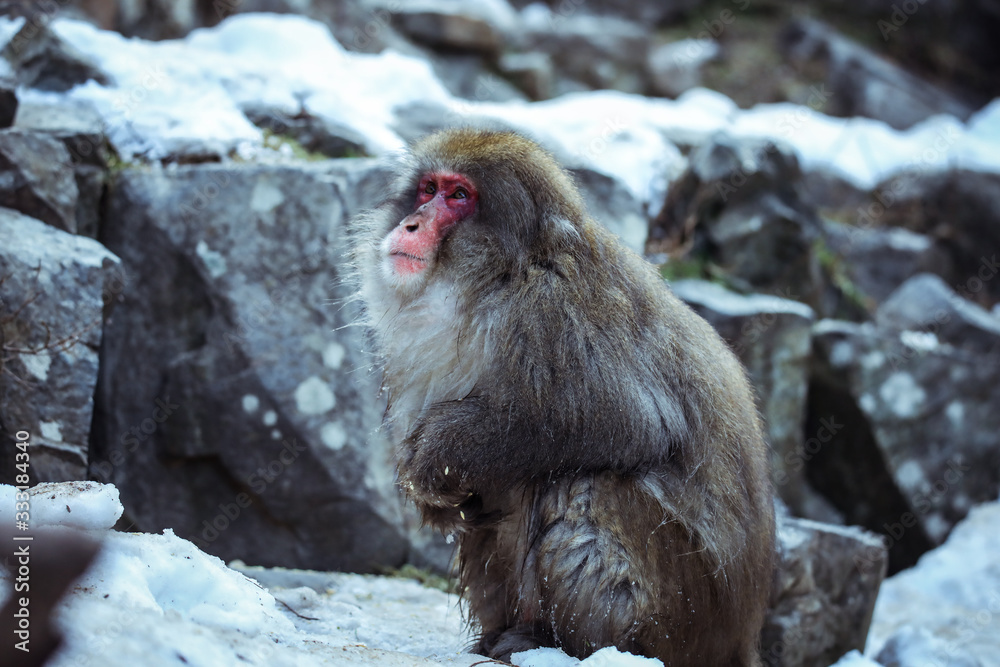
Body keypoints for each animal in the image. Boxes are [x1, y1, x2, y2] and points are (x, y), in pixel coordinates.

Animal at [352, 128, 776, 666]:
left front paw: (432, 459)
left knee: (582, 483)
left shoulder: (553, 313)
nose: (412, 222)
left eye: (459, 195)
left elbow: (627, 423)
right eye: (428, 189)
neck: (497, 279)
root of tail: (740, 639)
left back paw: (569, 642)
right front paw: (434, 493)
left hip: (685, 617)